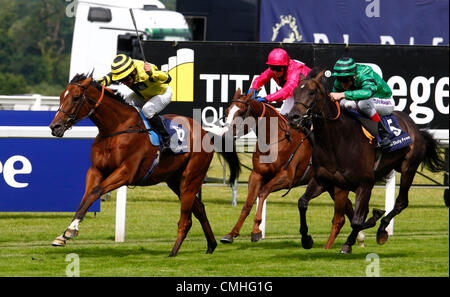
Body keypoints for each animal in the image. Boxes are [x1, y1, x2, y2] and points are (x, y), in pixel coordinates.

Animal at [48, 73, 241, 256]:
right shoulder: (96, 170)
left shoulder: (126, 172)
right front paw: (64, 234)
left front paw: (70, 231)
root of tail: (206, 133)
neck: (116, 128)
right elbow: (86, 197)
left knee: (186, 218)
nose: (54, 127)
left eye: (75, 98)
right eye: (61, 96)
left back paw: (174, 251)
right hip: (174, 180)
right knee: (199, 208)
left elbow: (95, 192)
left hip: (191, 177)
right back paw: (211, 245)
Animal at [219, 88, 362, 247]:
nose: (224, 136)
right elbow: (248, 204)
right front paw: (232, 234)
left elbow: (262, 192)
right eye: (227, 111)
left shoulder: (286, 177)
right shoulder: (256, 174)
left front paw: (256, 231)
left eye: (242, 112)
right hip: (330, 184)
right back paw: (359, 237)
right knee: (347, 206)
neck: (274, 138)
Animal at [286, 69, 444, 252]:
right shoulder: (323, 180)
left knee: (401, 202)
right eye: (294, 92)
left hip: (408, 168)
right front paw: (306, 239)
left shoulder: (365, 183)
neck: (337, 141)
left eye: (312, 92)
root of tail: (416, 129)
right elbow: (302, 203)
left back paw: (382, 230)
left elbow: (356, 221)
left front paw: (348, 244)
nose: (293, 117)